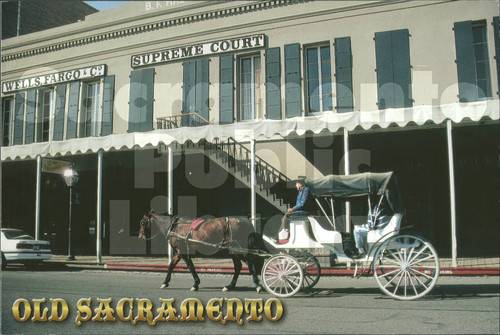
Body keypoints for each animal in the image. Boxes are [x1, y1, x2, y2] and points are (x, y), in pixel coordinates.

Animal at [138, 211, 266, 292]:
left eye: (142, 222)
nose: (140, 236)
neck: (175, 227)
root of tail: (244, 220)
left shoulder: (182, 251)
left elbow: (190, 267)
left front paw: (195, 284)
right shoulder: (178, 252)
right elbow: (171, 266)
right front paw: (165, 282)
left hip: (236, 249)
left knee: (249, 264)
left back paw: (257, 284)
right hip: (233, 251)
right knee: (238, 267)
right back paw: (230, 286)